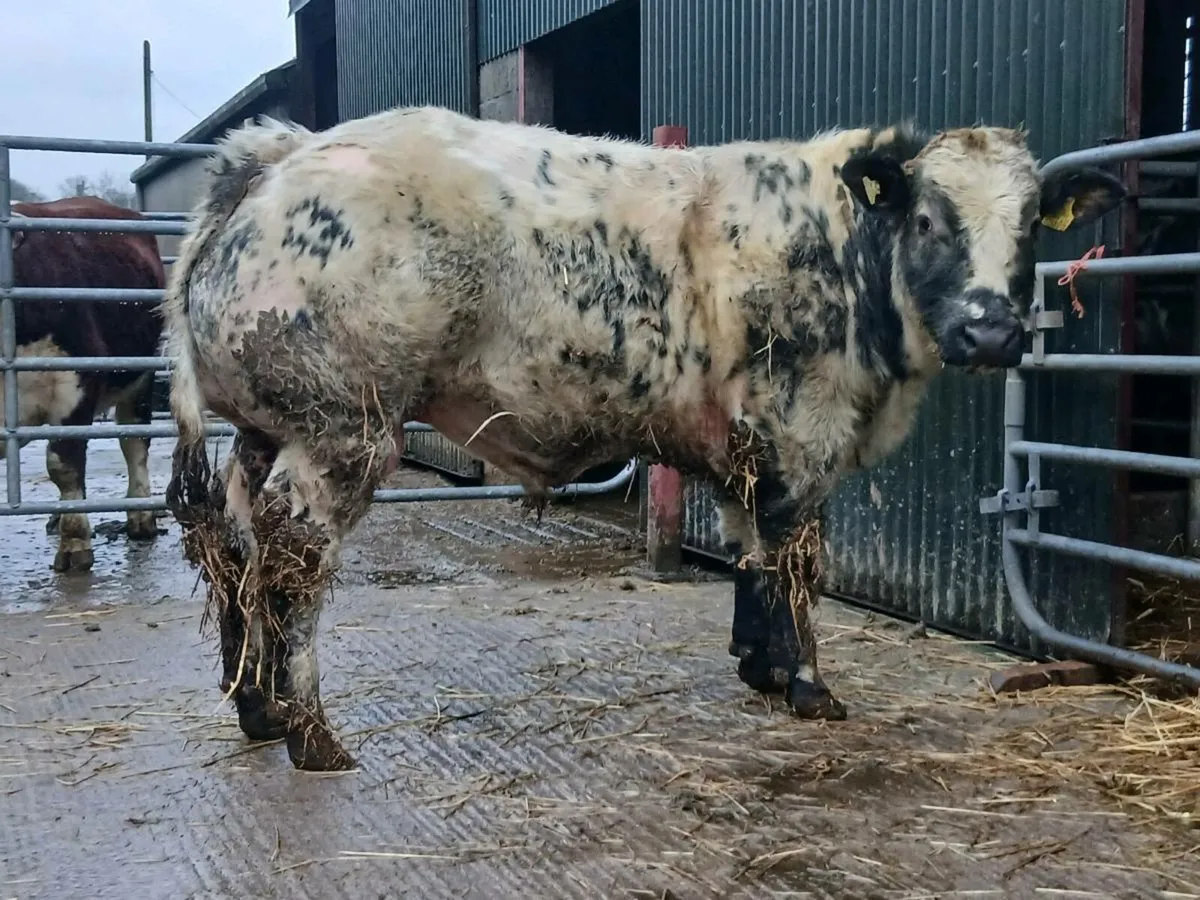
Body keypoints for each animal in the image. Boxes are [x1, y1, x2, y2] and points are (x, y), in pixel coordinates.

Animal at [6, 196, 166, 572]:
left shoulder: (75, 384)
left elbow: (63, 465)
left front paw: (75, 543)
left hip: (140, 379)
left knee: (134, 445)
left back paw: (141, 517)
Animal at [162, 106, 1125, 771]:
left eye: (1031, 224)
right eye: (930, 220)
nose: (991, 332)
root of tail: (280, 151)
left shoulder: (745, 442)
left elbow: (749, 550)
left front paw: (759, 665)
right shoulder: (800, 430)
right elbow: (796, 558)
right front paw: (809, 685)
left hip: (263, 432)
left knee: (237, 549)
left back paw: (256, 709)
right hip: (343, 434)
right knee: (293, 559)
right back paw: (313, 735)